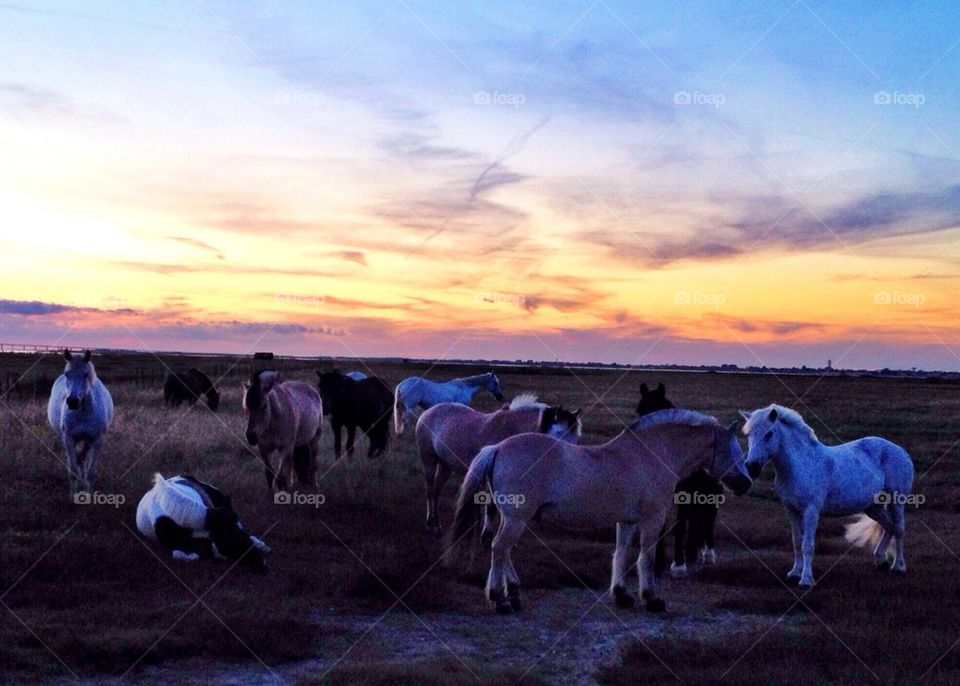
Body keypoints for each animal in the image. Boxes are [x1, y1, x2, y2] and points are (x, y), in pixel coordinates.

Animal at [47, 350, 114, 495]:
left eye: (85, 374)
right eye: (67, 374)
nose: (72, 401)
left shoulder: (96, 440)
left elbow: (90, 472)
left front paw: (88, 493)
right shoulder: (68, 439)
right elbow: (72, 470)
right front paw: (73, 495)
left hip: (87, 441)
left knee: (82, 459)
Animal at [416, 393, 582, 537]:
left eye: (576, 439)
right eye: (559, 435)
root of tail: (429, 412)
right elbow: (491, 506)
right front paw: (486, 534)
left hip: (445, 465)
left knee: (436, 491)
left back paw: (437, 524)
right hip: (428, 460)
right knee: (429, 490)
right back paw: (430, 523)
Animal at [448, 409, 751, 614]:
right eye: (733, 448)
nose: (746, 483)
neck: (649, 455)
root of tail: (498, 447)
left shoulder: (627, 521)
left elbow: (621, 554)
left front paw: (621, 595)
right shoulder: (652, 519)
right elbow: (646, 557)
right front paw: (651, 598)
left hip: (510, 517)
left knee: (501, 549)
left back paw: (513, 593)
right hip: (516, 519)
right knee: (499, 548)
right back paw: (500, 599)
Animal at [635, 382, 725, 577]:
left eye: (662, 409)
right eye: (640, 410)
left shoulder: (684, 496)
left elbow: (679, 527)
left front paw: (678, 564)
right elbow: (661, 528)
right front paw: (657, 564)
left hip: (711, 494)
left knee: (709, 519)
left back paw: (709, 553)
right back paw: (693, 551)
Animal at [740, 405, 915, 589]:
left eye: (769, 434)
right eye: (748, 434)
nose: (751, 467)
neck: (801, 465)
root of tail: (901, 451)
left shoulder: (811, 511)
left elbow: (807, 545)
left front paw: (806, 580)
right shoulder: (791, 510)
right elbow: (797, 542)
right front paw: (794, 574)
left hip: (897, 500)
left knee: (899, 528)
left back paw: (898, 566)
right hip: (873, 507)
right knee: (888, 525)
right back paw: (881, 561)